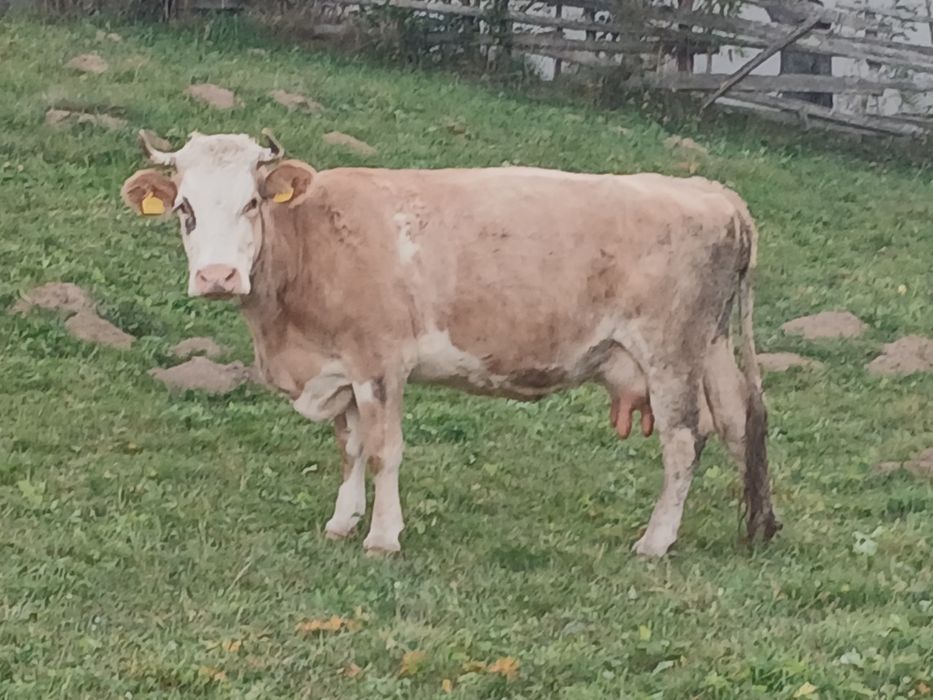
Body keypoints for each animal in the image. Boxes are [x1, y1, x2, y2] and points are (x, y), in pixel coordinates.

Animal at [121, 130, 781, 557]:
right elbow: (350, 448)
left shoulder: (381, 362)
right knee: (737, 424)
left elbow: (384, 451)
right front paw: (342, 522)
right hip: (709, 349)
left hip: (669, 354)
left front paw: (383, 537)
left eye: (252, 202)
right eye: (184, 209)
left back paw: (655, 541)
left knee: (683, 442)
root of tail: (713, 192)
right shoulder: (343, 369)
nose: (218, 277)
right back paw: (754, 528)